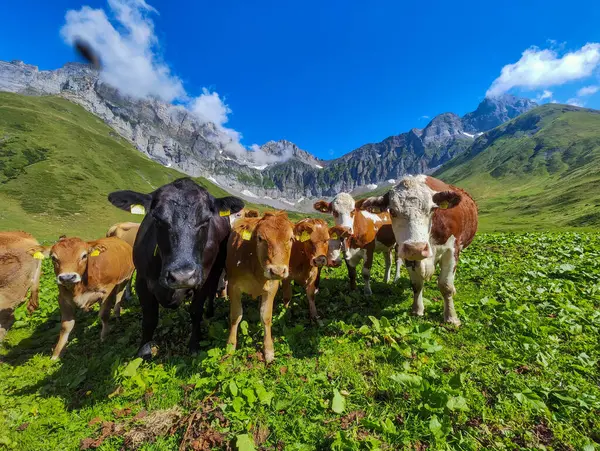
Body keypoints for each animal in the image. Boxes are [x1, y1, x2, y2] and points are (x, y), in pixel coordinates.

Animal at [109, 178, 245, 358]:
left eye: (206, 220)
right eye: (157, 219)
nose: (182, 276)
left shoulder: (202, 278)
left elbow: (195, 311)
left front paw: (194, 345)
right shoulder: (142, 281)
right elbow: (149, 319)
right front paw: (143, 352)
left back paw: (210, 312)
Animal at [226, 212, 296, 364]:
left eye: (291, 238)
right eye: (260, 238)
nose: (277, 271)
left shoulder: (272, 288)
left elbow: (266, 316)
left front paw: (269, 350)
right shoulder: (233, 286)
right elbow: (235, 316)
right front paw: (230, 345)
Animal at [356, 175, 478, 326]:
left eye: (432, 209)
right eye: (392, 211)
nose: (417, 248)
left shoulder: (451, 251)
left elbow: (446, 286)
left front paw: (451, 317)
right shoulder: (407, 254)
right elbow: (416, 284)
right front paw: (417, 309)